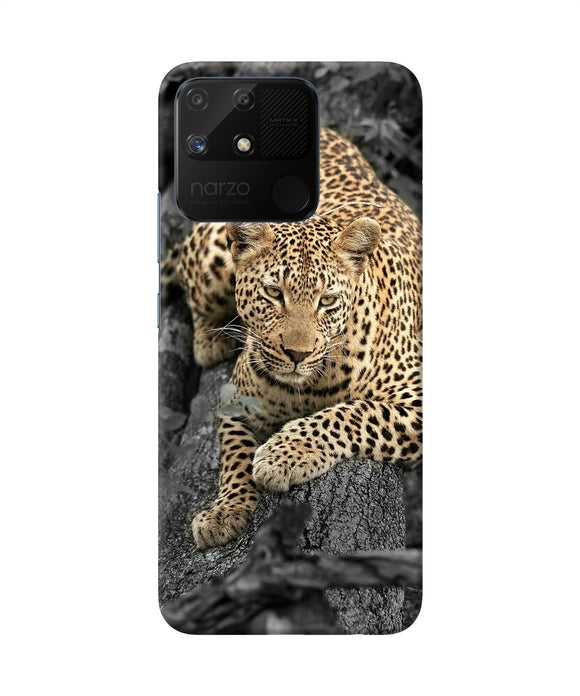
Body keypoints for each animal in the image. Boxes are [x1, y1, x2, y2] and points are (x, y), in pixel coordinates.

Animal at [164, 127, 422, 550]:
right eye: (273, 293)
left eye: (327, 300)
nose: (297, 354)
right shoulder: (235, 400)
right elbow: (234, 456)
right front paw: (225, 511)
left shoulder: (415, 398)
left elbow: (352, 413)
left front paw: (282, 455)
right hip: (211, 257)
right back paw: (210, 341)